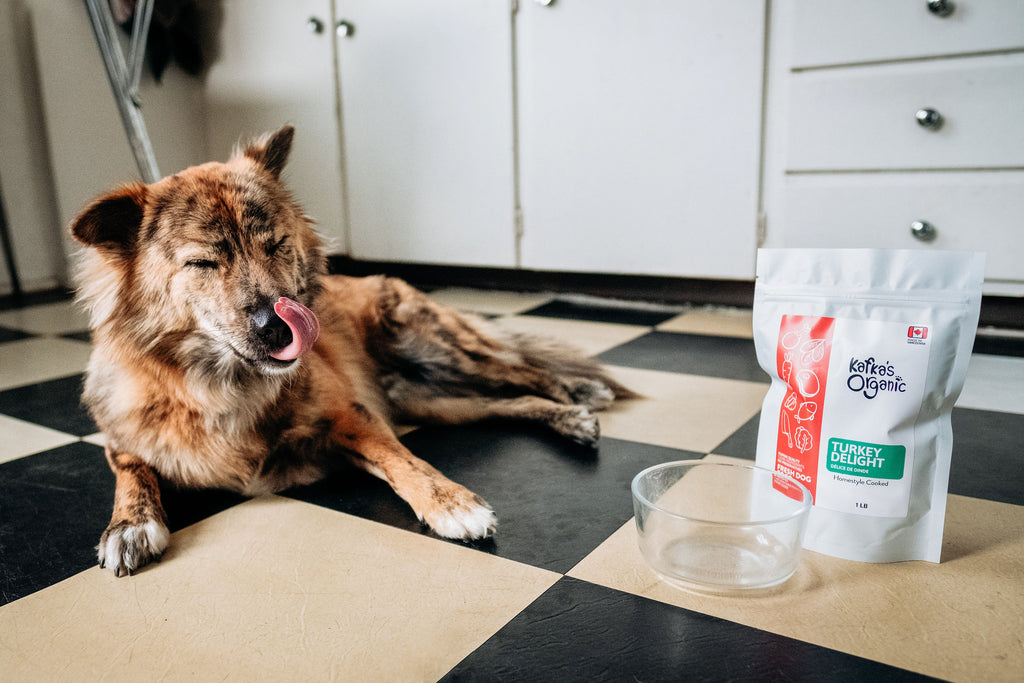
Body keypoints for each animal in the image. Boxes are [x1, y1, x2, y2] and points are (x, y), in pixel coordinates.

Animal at [72, 126, 630, 577]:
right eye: (203, 263)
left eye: (276, 244)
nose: (280, 327)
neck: (220, 382)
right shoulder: (120, 433)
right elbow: (132, 469)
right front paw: (129, 525)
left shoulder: (352, 415)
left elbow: (403, 459)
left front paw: (450, 502)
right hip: (433, 400)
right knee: (505, 403)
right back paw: (566, 416)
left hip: (435, 350)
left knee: (523, 370)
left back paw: (578, 395)